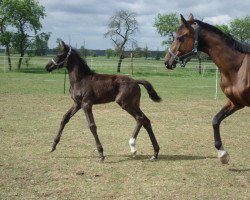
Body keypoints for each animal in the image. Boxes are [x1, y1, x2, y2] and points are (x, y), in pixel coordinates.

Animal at [164, 13, 250, 164]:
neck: (238, 67)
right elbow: (216, 120)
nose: (167, 61)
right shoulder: (236, 102)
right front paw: (222, 154)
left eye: (180, 37)